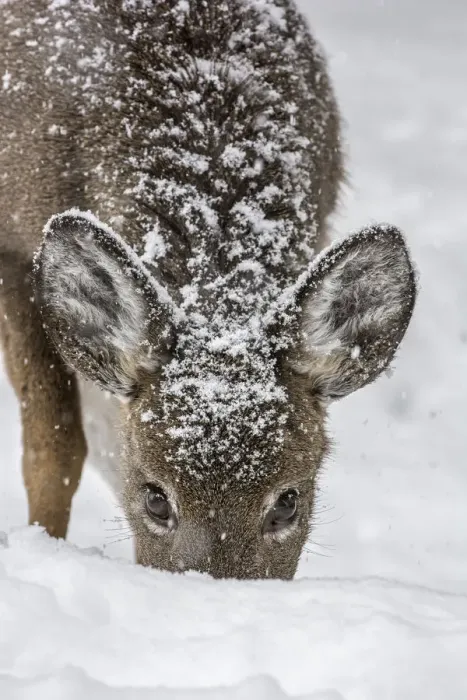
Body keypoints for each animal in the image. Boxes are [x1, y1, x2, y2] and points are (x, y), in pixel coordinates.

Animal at [0, 0, 416, 580]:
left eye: (288, 501)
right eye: (156, 498)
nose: (212, 589)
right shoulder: (12, 247)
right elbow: (53, 449)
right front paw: (43, 548)